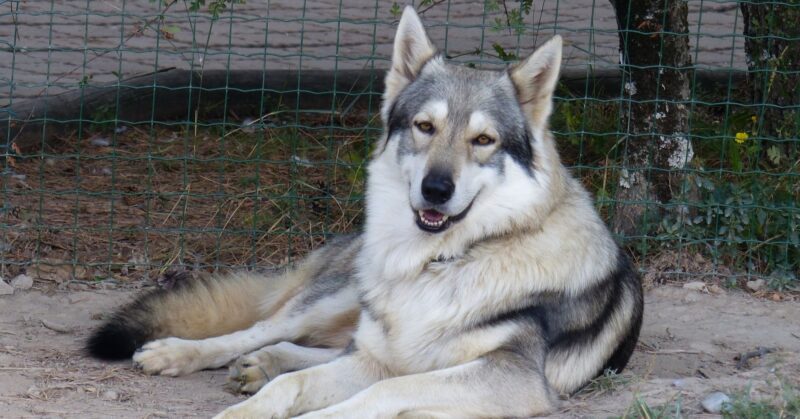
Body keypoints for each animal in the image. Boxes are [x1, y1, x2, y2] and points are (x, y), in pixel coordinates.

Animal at [87, 6, 643, 418]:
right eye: (424, 126)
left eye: (483, 140)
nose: (435, 189)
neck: (441, 264)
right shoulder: (388, 358)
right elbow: (293, 387)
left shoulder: (511, 378)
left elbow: (378, 392)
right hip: (339, 298)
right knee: (262, 330)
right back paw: (186, 353)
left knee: (316, 346)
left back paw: (260, 365)